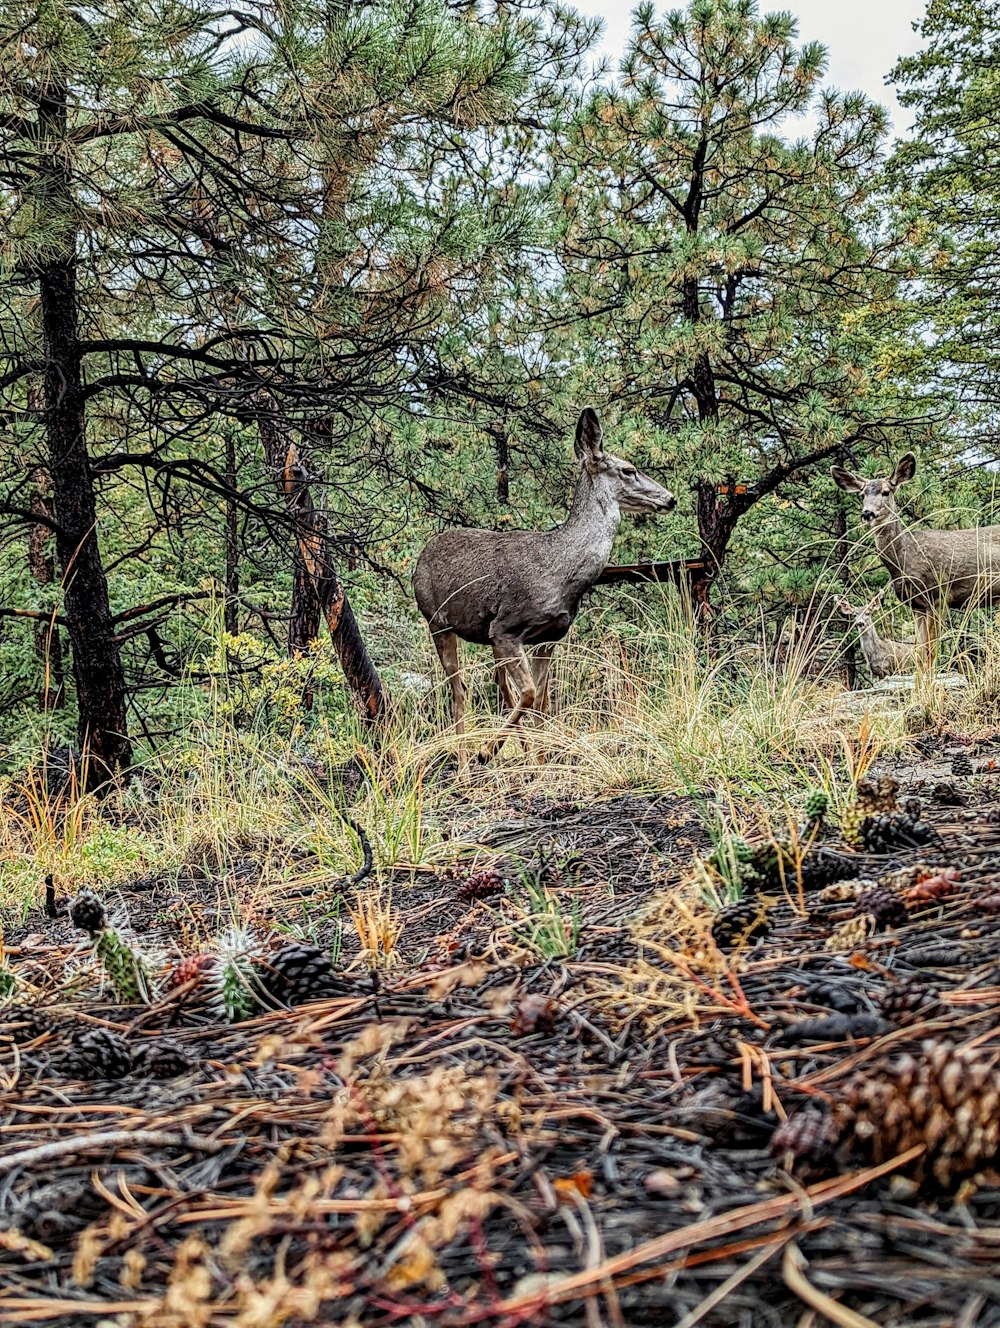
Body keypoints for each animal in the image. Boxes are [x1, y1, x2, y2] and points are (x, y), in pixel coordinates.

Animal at [409, 403, 674, 764]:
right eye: (628, 470)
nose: (671, 498)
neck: (561, 573)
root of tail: (421, 557)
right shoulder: (506, 628)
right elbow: (530, 694)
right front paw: (488, 751)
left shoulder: (549, 637)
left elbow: (542, 705)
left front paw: (540, 765)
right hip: (438, 621)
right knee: (459, 692)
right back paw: (467, 761)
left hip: (481, 636)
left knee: (498, 685)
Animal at [828, 456, 998, 679]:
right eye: (862, 494)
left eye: (886, 491)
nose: (867, 513)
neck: (904, 560)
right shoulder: (916, 605)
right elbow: (920, 651)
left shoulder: (938, 595)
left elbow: (931, 650)